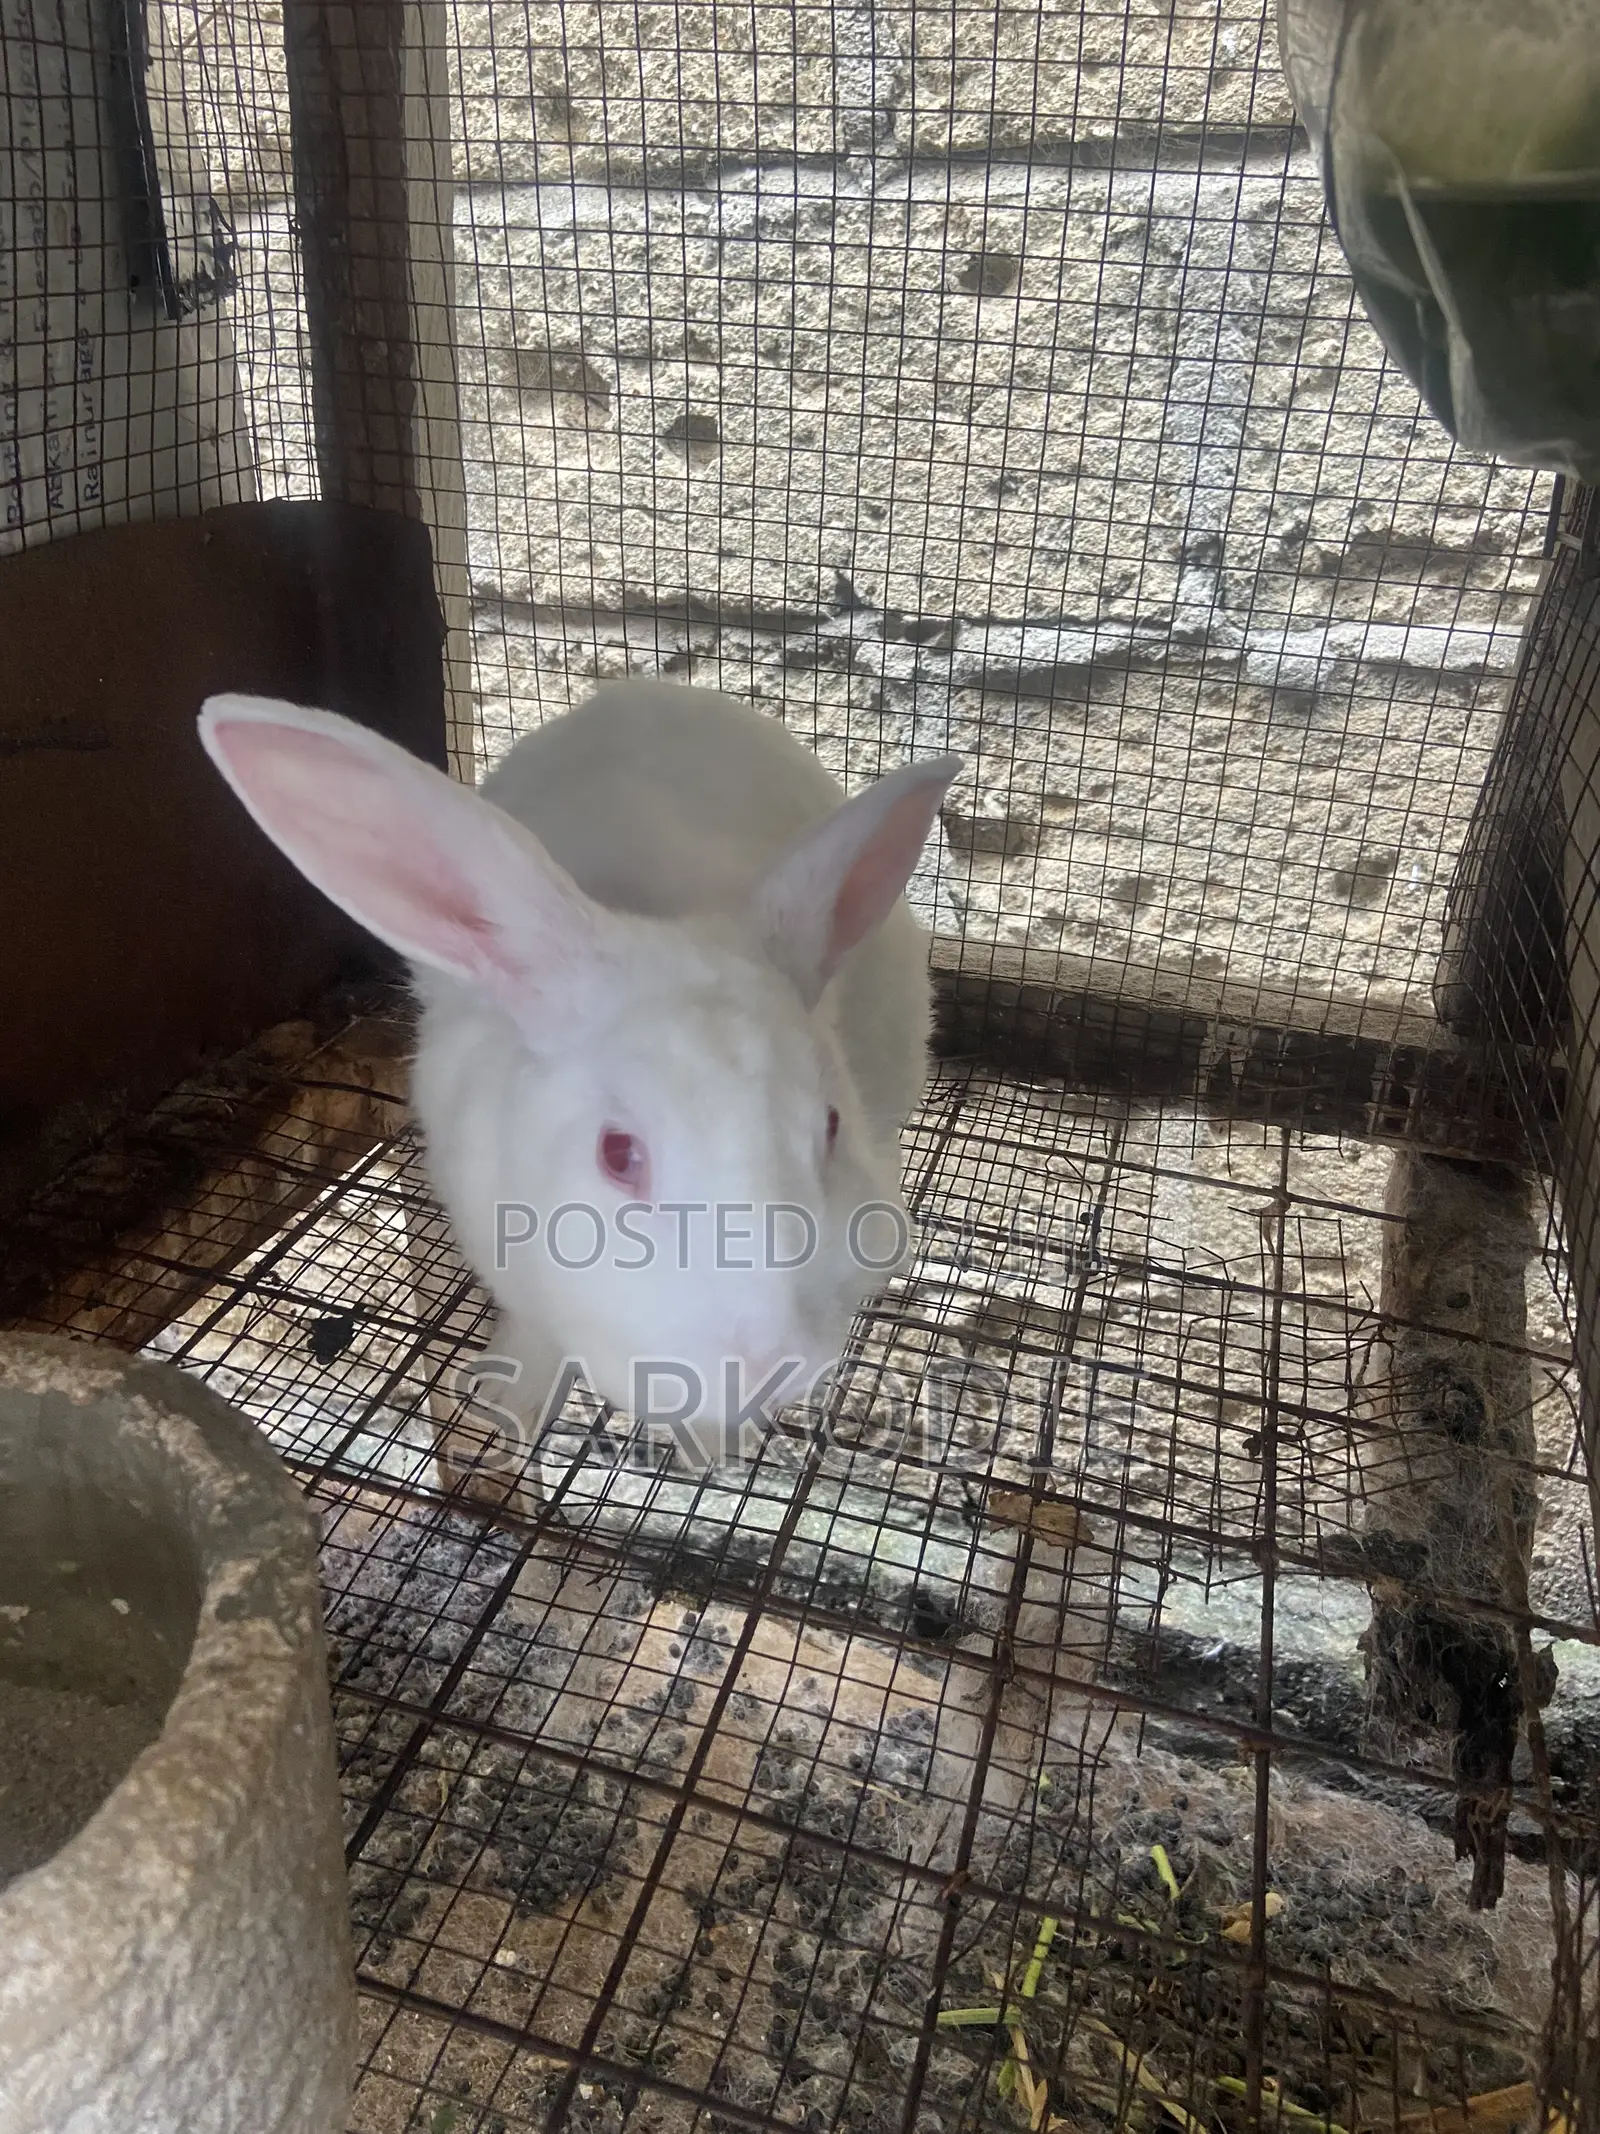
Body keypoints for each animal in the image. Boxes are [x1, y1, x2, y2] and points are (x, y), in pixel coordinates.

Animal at [198, 677, 961, 1475]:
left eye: (833, 1125)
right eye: (617, 1154)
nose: (773, 1362)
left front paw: (716, 1445)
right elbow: (536, 1335)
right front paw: (505, 1403)